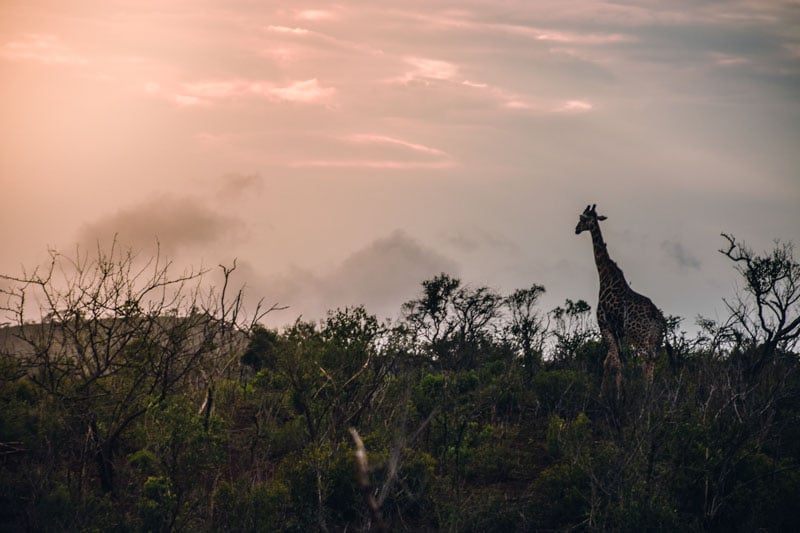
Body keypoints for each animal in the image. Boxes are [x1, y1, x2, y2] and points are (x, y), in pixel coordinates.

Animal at [576, 205, 668, 400]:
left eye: (582, 218)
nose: (576, 229)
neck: (604, 274)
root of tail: (657, 318)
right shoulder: (619, 332)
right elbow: (613, 361)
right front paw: (610, 394)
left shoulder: (604, 324)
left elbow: (613, 362)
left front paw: (614, 396)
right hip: (655, 339)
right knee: (652, 359)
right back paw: (649, 393)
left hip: (639, 336)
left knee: (645, 358)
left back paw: (644, 394)